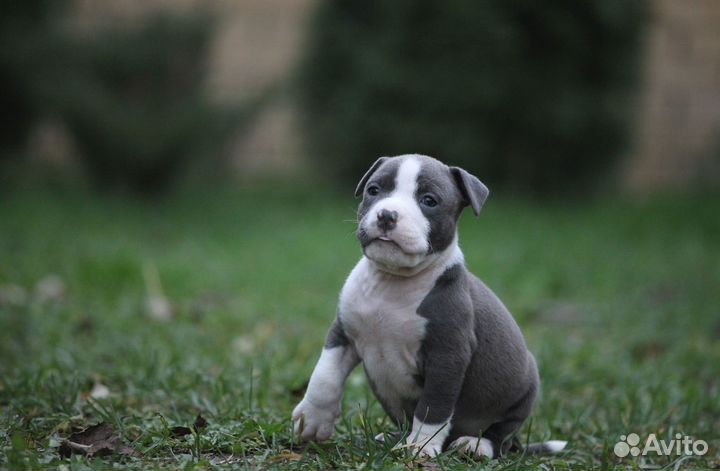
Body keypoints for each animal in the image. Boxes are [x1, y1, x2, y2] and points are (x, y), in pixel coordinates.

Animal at [292, 157, 568, 460]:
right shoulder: (342, 334)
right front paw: (312, 419)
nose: (387, 215)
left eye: (429, 201)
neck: (392, 283)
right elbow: (324, 376)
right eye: (374, 190)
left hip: (525, 390)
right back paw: (391, 437)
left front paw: (420, 447)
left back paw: (476, 445)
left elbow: (432, 407)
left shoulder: (447, 357)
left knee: (502, 436)